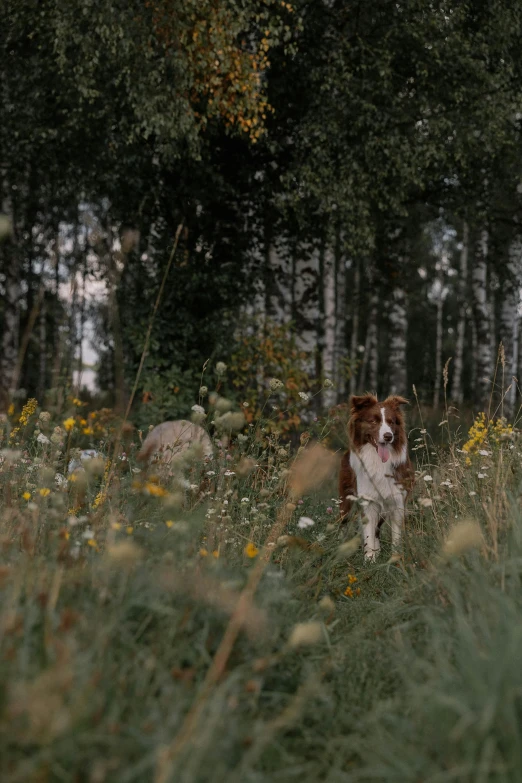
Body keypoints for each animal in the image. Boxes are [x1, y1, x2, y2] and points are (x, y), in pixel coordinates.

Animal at [338, 396, 414, 560]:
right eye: (373, 421)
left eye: (391, 422)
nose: (388, 436)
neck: (378, 462)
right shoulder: (368, 501)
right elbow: (368, 534)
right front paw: (369, 559)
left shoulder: (397, 500)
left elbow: (395, 537)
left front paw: (395, 559)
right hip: (345, 499)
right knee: (343, 521)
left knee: (378, 528)